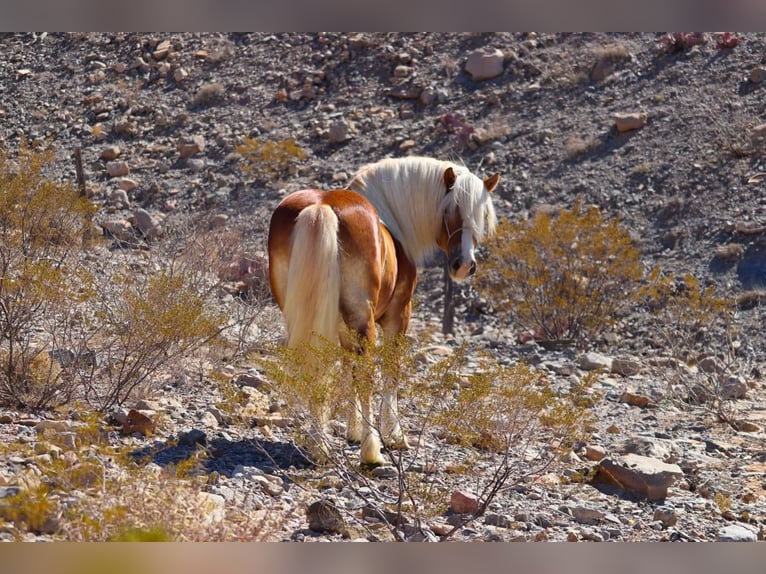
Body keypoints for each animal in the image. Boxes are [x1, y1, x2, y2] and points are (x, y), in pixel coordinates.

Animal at [268, 155, 500, 466]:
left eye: (481, 216)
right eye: (450, 210)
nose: (464, 266)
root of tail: (322, 206)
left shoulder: (342, 327)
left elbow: (347, 369)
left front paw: (352, 430)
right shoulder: (398, 317)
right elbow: (390, 371)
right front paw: (394, 435)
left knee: (318, 367)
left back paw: (320, 445)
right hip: (363, 319)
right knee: (367, 376)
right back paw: (370, 452)